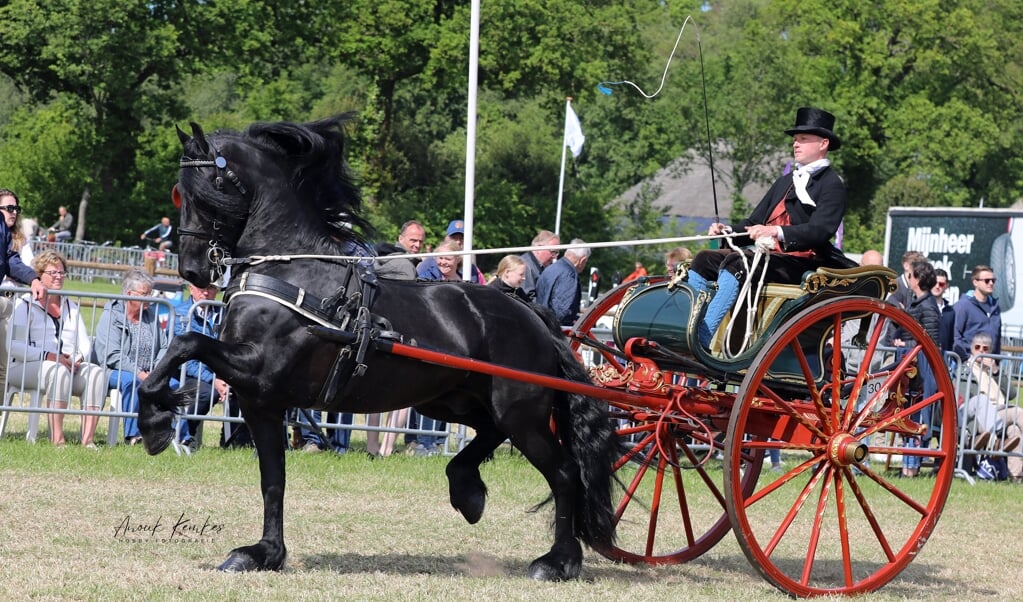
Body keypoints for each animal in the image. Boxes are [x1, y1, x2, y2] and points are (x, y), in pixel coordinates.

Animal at [136, 115, 613, 581]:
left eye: (208, 190)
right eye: (179, 193)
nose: (193, 270)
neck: (292, 272)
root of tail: (530, 313)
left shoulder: (258, 370)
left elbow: (186, 342)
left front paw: (154, 422)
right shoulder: (260, 400)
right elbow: (273, 479)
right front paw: (265, 553)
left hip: (521, 412)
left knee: (564, 473)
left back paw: (559, 561)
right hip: (450, 401)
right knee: (490, 434)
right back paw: (466, 488)